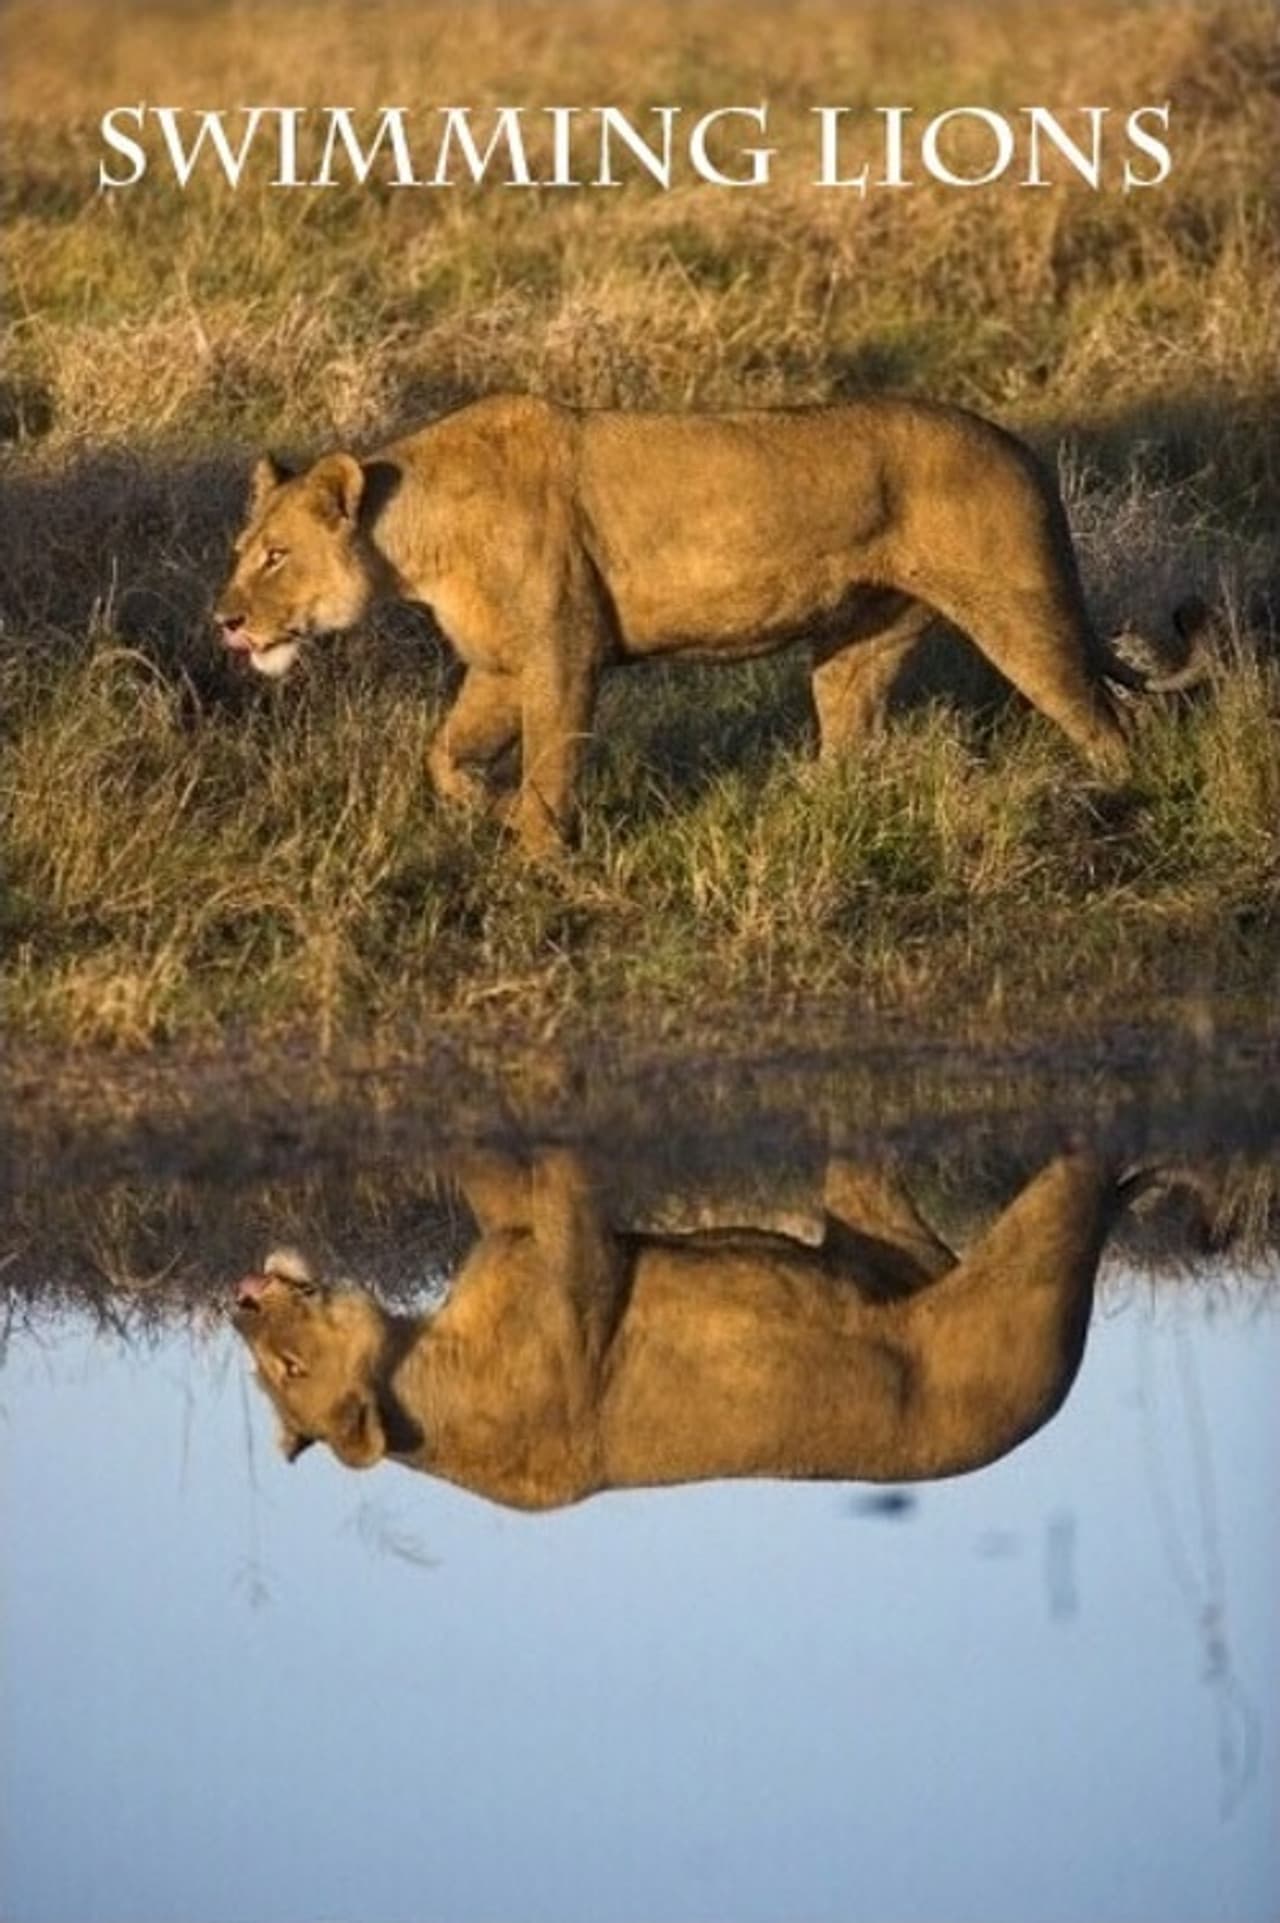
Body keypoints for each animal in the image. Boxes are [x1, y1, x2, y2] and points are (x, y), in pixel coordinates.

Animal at [215, 394, 1195, 856]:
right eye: (240, 550)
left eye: (275, 556)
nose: (224, 621)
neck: (413, 538)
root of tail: (1020, 445)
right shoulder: (499, 665)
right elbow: (443, 756)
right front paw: (492, 811)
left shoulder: (564, 656)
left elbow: (550, 762)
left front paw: (535, 853)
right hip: (858, 644)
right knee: (849, 742)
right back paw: (810, 815)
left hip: (1019, 614)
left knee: (1106, 719)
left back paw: (1120, 803)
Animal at [230, 1148, 1140, 1511]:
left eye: (281, 1367)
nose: (238, 1306)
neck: (421, 1363)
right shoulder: (583, 1268)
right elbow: (563, 1184)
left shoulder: (533, 1239)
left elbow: (494, 1174)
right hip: (1026, 1269)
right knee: (1080, 1177)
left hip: (884, 1241)